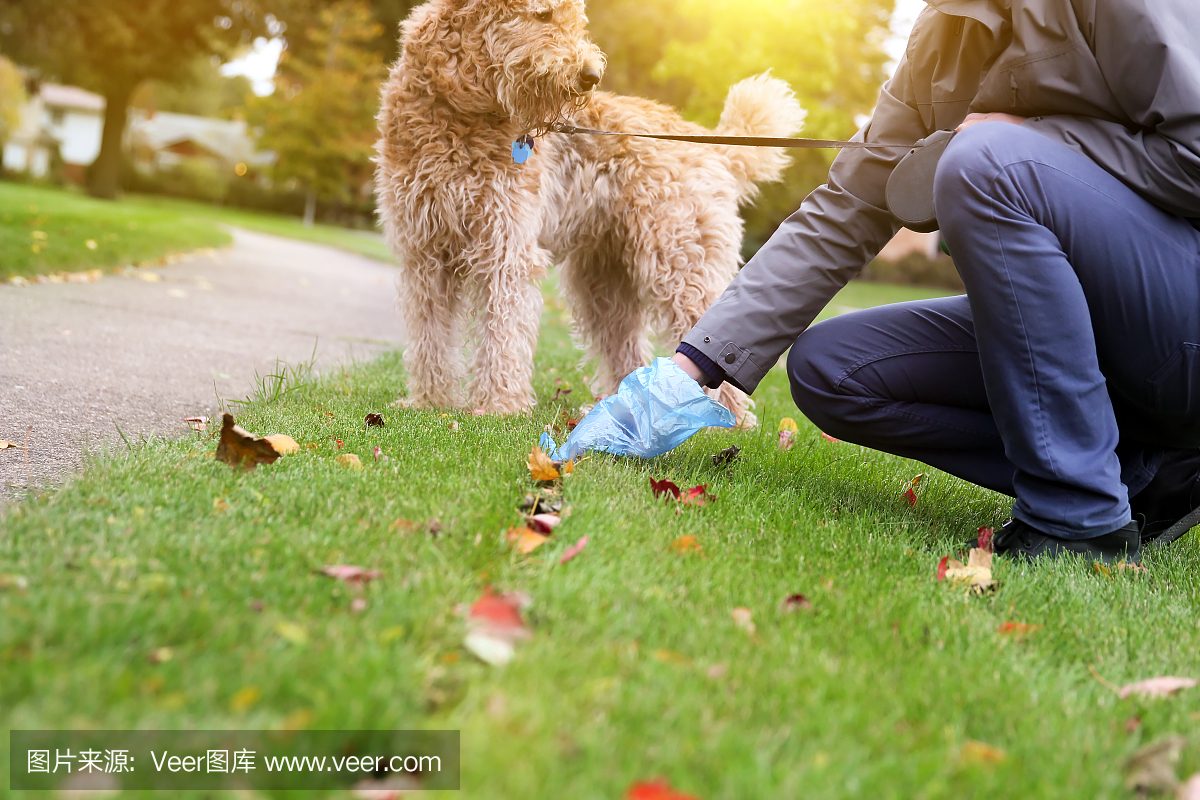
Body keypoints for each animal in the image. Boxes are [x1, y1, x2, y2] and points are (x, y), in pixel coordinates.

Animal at [374, 0, 806, 424]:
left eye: (576, 20)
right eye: (543, 14)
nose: (591, 75)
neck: (458, 111)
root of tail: (712, 144)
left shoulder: (506, 249)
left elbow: (503, 333)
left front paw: (498, 405)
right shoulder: (425, 251)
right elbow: (430, 334)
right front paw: (429, 401)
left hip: (680, 262)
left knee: (712, 334)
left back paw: (725, 420)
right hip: (604, 282)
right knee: (628, 348)